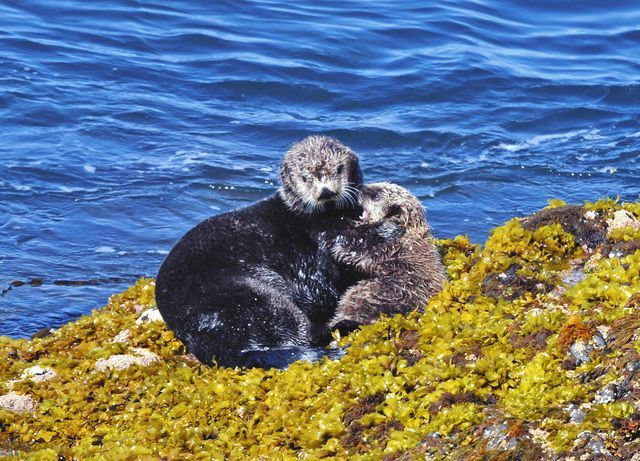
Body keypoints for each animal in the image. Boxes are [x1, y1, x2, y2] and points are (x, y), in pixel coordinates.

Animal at [155, 135, 367, 368]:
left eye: (339, 168)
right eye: (304, 177)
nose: (326, 192)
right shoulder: (315, 252)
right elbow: (321, 288)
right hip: (251, 299)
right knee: (304, 335)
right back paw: (345, 324)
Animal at [328, 182, 447, 334]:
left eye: (375, 196)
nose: (359, 187)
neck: (407, 232)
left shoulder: (390, 250)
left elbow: (364, 257)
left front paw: (340, 246)